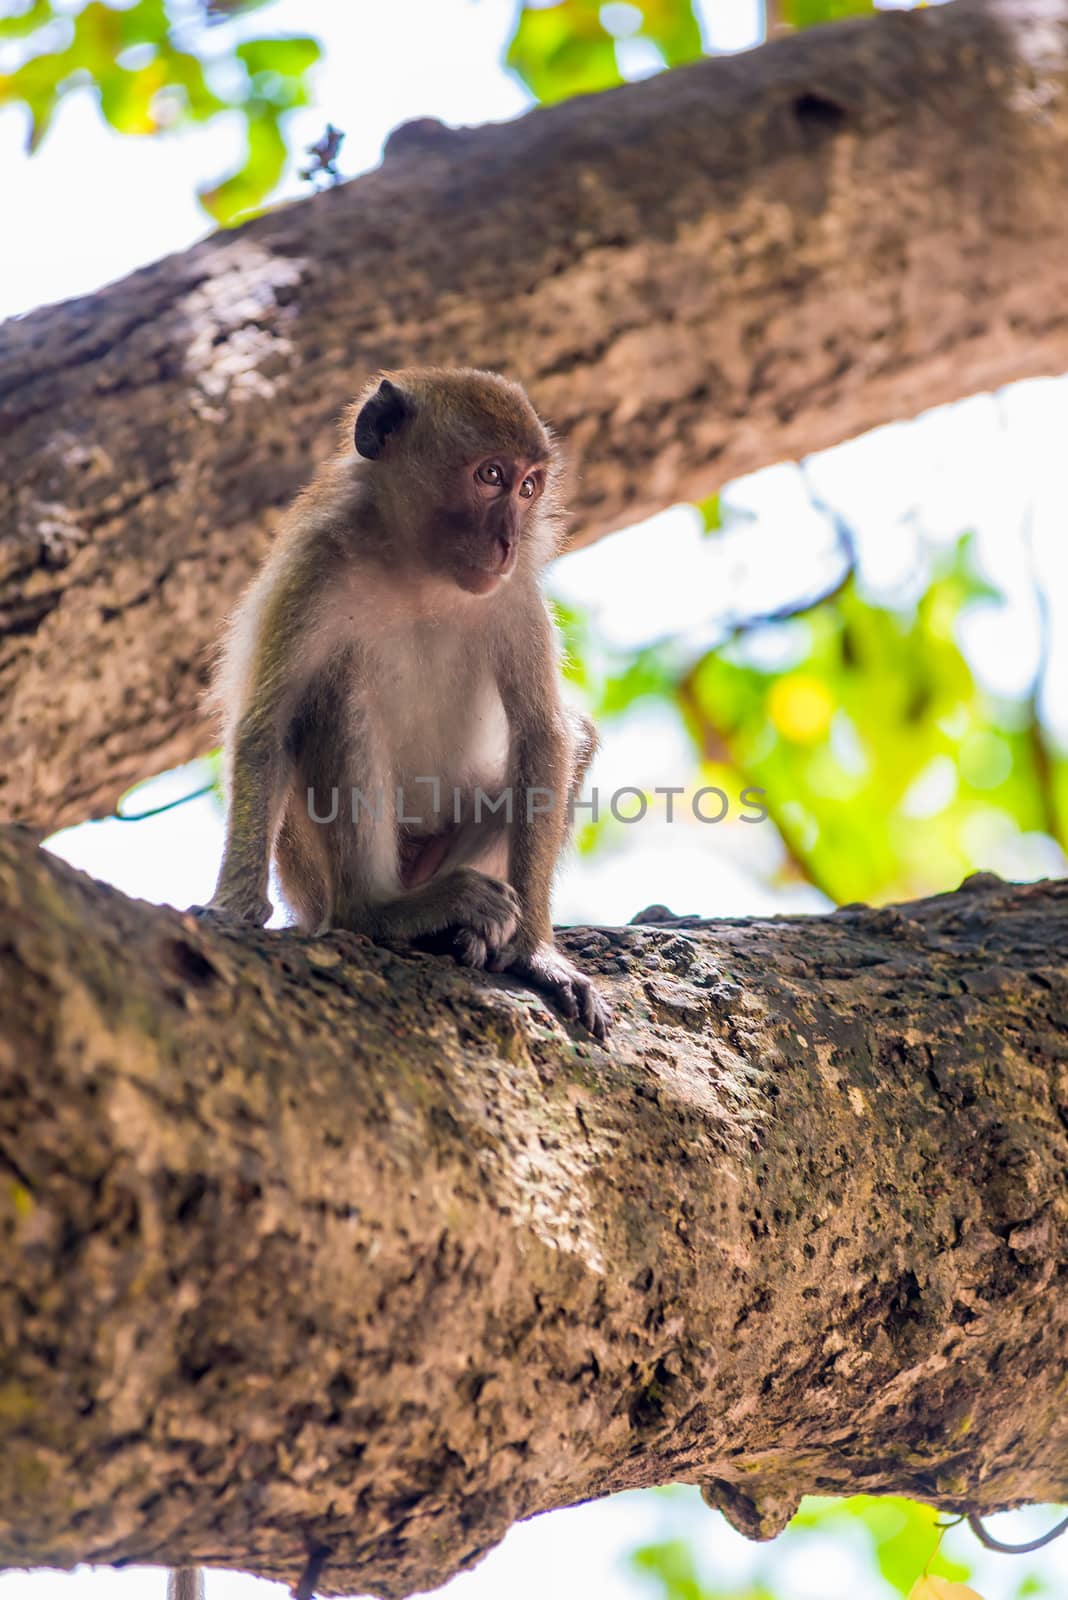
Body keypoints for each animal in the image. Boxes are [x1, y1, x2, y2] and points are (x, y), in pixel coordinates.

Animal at [199, 363, 607, 1036]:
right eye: (490, 476)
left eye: (529, 487)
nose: (508, 542)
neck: (419, 571)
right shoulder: (315, 565)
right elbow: (269, 726)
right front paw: (231, 906)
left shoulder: (514, 594)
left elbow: (543, 733)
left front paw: (536, 953)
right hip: (313, 878)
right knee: (336, 695)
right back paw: (382, 911)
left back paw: (464, 936)